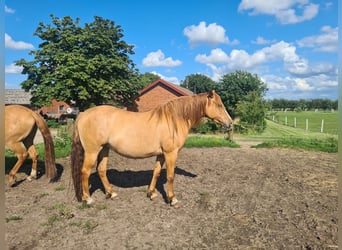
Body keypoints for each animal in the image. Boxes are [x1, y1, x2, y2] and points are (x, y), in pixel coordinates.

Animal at [71, 91, 234, 206]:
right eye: (219, 105)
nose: (230, 123)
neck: (173, 120)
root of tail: (83, 114)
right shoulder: (170, 154)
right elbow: (170, 176)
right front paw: (172, 199)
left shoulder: (161, 154)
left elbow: (156, 172)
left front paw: (152, 194)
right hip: (92, 151)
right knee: (85, 172)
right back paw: (88, 199)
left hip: (104, 149)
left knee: (101, 170)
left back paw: (111, 193)